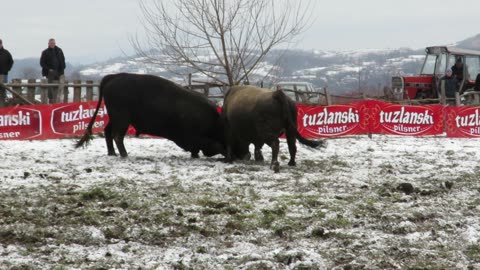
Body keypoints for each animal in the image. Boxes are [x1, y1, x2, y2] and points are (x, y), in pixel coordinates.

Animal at [77, 73, 227, 158]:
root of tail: (112, 77)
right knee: (117, 135)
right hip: (122, 118)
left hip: (115, 117)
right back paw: (125, 155)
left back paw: (112, 153)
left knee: (108, 131)